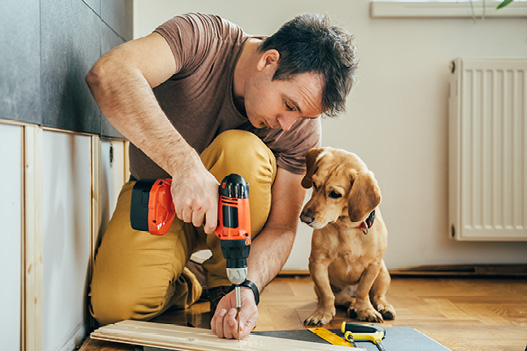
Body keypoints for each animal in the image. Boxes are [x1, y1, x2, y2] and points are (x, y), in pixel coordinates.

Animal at [302, 147, 396, 326]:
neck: (348, 228)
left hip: (382, 273)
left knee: (377, 295)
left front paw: (365, 310)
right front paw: (322, 313)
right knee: (341, 298)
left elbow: (363, 291)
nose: (304, 218)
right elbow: (327, 294)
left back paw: (383, 307)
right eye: (315, 184)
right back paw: (351, 305)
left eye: (335, 194)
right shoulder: (317, 263)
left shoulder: (373, 265)